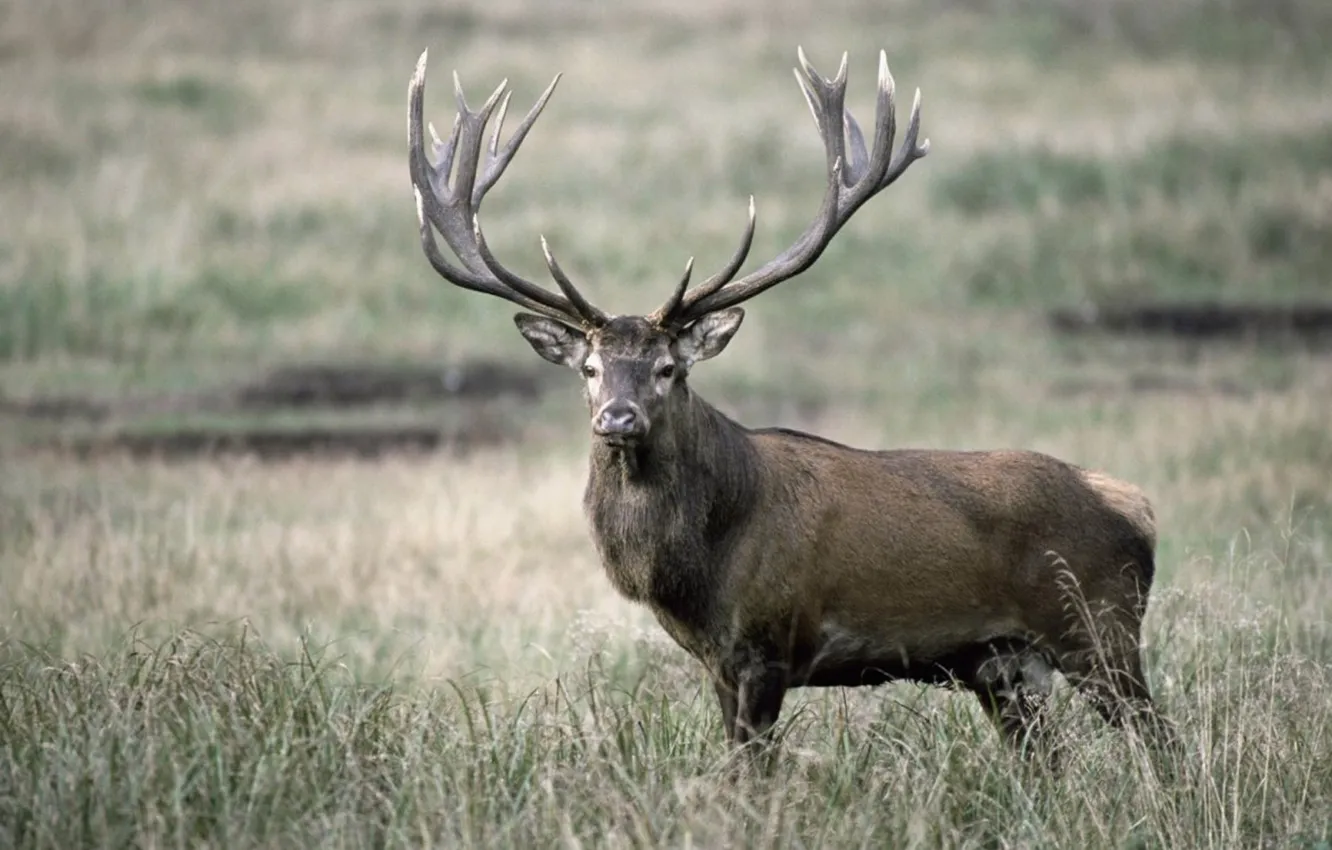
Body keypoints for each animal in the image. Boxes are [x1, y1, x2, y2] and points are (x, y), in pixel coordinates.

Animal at [404, 46, 1177, 767]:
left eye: (668, 368)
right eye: (589, 369)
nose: (617, 419)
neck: (699, 565)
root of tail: (1134, 504)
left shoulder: (767, 643)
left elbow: (752, 774)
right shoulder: (717, 660)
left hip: (1097, 627)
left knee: (1162, 743)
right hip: (1003, 666)